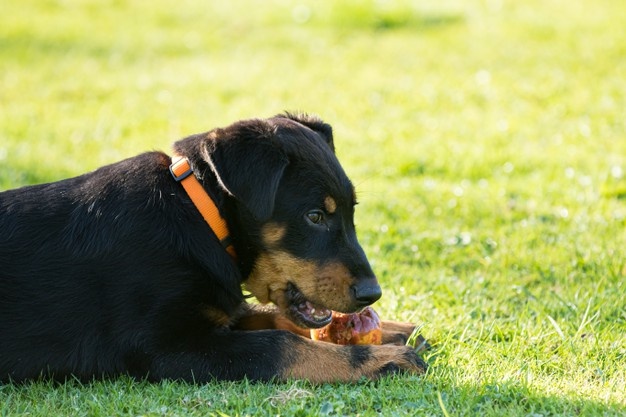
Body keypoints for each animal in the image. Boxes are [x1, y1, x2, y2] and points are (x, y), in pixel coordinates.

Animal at [0, 112, 424, 382]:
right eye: (315, 216)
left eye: (352, 211)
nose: (372, 294)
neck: (200, 217)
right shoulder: (168, 347)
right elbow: (280, 344)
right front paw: (386, 360)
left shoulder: (214, 313)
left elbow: (268, 315)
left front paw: (396, 328)